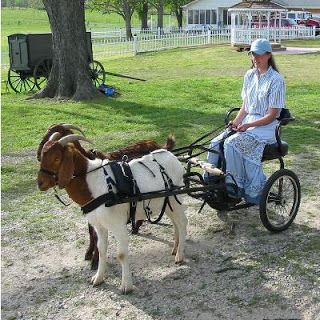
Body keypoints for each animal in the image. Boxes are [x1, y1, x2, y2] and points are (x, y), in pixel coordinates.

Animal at [37, 134, 188, 294]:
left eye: (56, 158)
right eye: (42, 156)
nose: (40, 183)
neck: (94, 183)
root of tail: (172, 156)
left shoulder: (118, 225)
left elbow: (121, 254)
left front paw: (126, 286)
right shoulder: (99, 225)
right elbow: (102, 249)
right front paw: (98, 278)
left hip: (176, 200)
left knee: (182, 223)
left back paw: (180, 255)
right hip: (166, 203)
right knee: (175, 223)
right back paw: (175, 248)